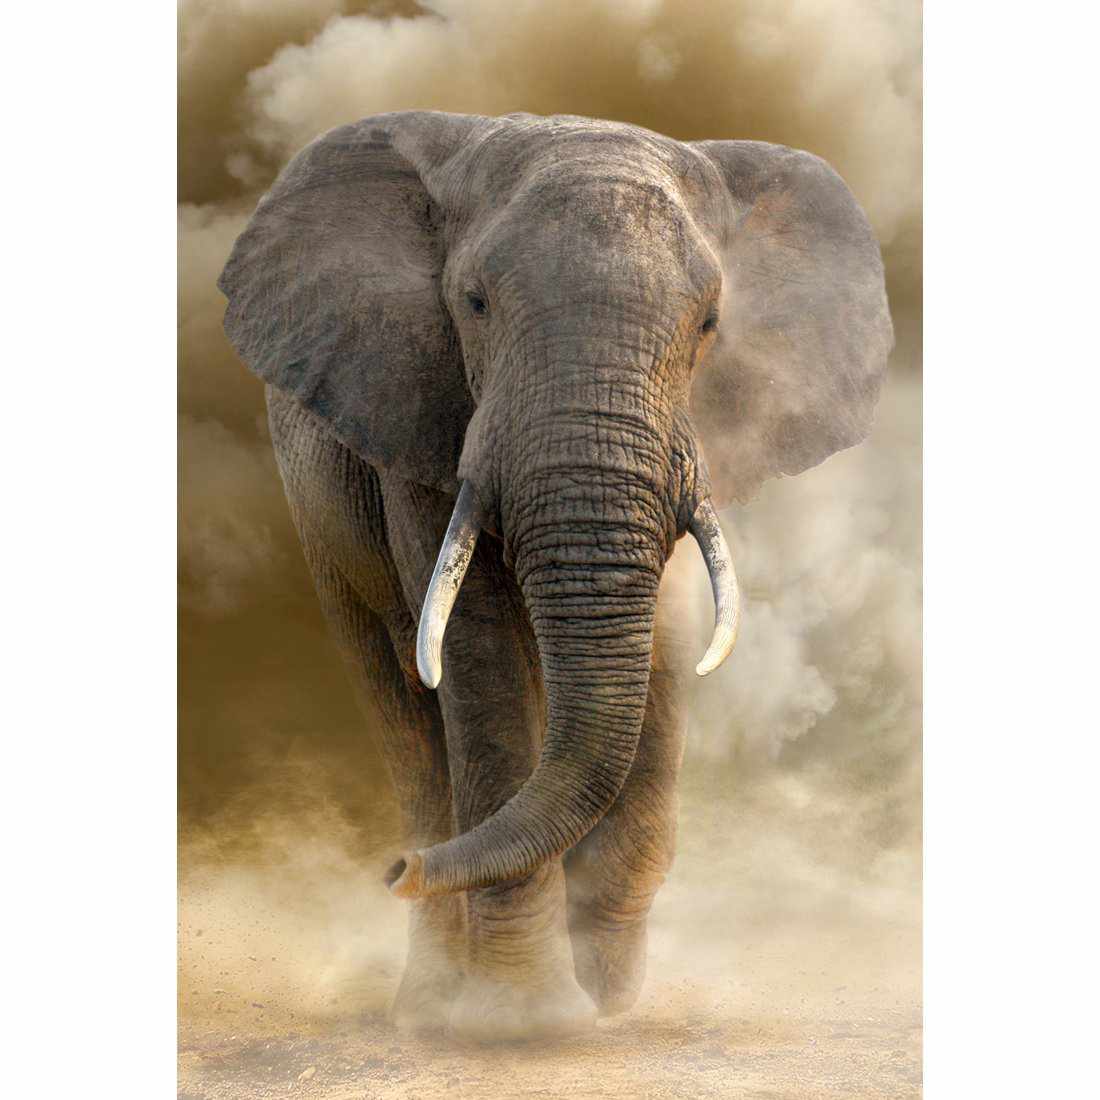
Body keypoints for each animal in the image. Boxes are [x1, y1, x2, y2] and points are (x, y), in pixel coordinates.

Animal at [217, 110, 892, 1042]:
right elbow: (479, 653)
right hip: (322, 523)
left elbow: (666, 649)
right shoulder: (420, 417)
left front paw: (602, 1001)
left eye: (711, 322)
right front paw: (522, 1020)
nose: (397, 869)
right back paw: (430, 1000)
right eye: (473, 304)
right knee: (403, 709)